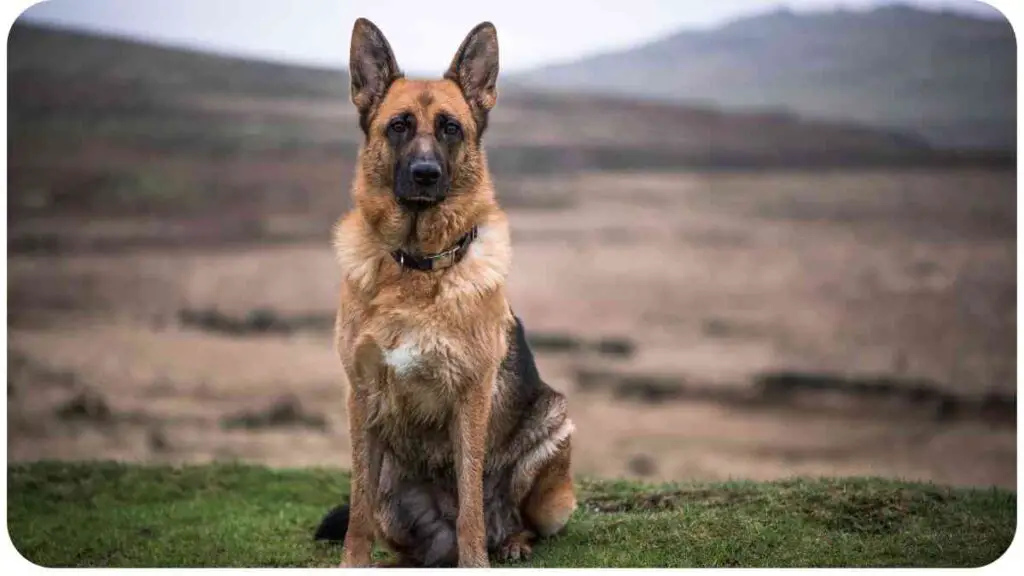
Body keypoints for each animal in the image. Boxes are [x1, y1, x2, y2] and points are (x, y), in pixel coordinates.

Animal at [313, 16, 577, 565]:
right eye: (399, 125)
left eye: (451, 128)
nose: (425, 175)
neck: (416, 268)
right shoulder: (360, 397)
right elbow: (357, 506)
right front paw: (353, 563)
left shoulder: (470, 397)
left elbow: (472, 502)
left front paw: (475, 561)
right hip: (392, 495)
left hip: (554, 434)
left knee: (513, 518)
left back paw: (512, 541)